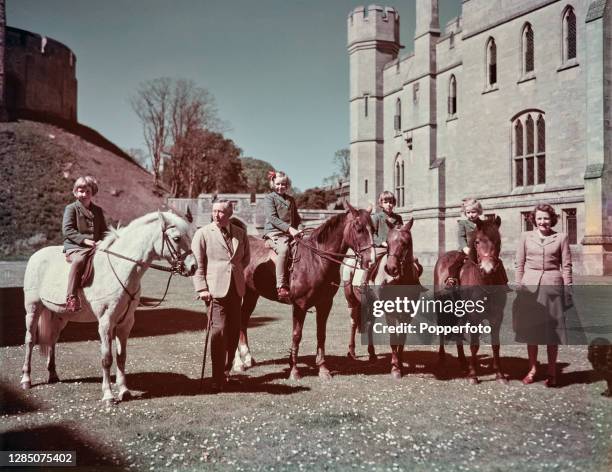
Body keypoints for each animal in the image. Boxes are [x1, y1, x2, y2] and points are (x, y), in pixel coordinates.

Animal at [20, 212, 196, 404]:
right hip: (33, 309)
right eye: (177, 238)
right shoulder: (106, 322)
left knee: (52, 339)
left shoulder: (125, 323)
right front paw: (108, 395)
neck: (121, 269)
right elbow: (106, 358)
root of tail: (36, 255)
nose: (194, 267)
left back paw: (53, 375)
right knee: (30, 340)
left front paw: (124, 391)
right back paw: (26, 379)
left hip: (60, 316)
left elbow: (121, 357)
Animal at [231, 203, 372, 380]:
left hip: (252, 294)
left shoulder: (325, 304)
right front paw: (294, 371)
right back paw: (238, 363)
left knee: (243, 320)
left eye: (374, 228)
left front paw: (323, 369)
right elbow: (296, 335)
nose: (370, 260)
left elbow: (321, 334)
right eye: (359, 228)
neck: (316, 260)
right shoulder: (300, 305)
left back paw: (248, 357)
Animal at [342, 221, 424, 380]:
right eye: (389, 242)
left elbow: (402, 337)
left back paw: (372, 354)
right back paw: (352, 351)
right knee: (354, 323)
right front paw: (395, 368)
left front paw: (400, 362)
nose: (391, 268)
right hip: (352, 301)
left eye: (405, 243)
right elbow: (393, 337)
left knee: (369, 325)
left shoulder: (408, 314)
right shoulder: (390, 312)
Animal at [436, 217, 506, 384]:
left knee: (458, 331)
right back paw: (442, 359)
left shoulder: (497, 317)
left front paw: (500, 374)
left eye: (498, 240)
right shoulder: (474, 316)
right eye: (477, 242)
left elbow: (496, 345)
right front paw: (473, 375)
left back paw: (462, 362)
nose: (487, 268)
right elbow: (474, 345)